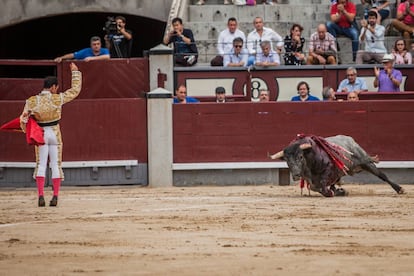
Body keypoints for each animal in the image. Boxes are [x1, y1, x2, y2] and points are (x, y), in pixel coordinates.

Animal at [268, 134, 404, 196]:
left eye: (300, 157)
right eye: (287, 160)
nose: (296, 175)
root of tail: (351, 140)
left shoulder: (328, 170)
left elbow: (322, 184)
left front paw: (331, 192)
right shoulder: (310, 180)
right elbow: (315, 187)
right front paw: (338, 191)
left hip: (366, 161)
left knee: (382, 175)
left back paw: (399, 189)